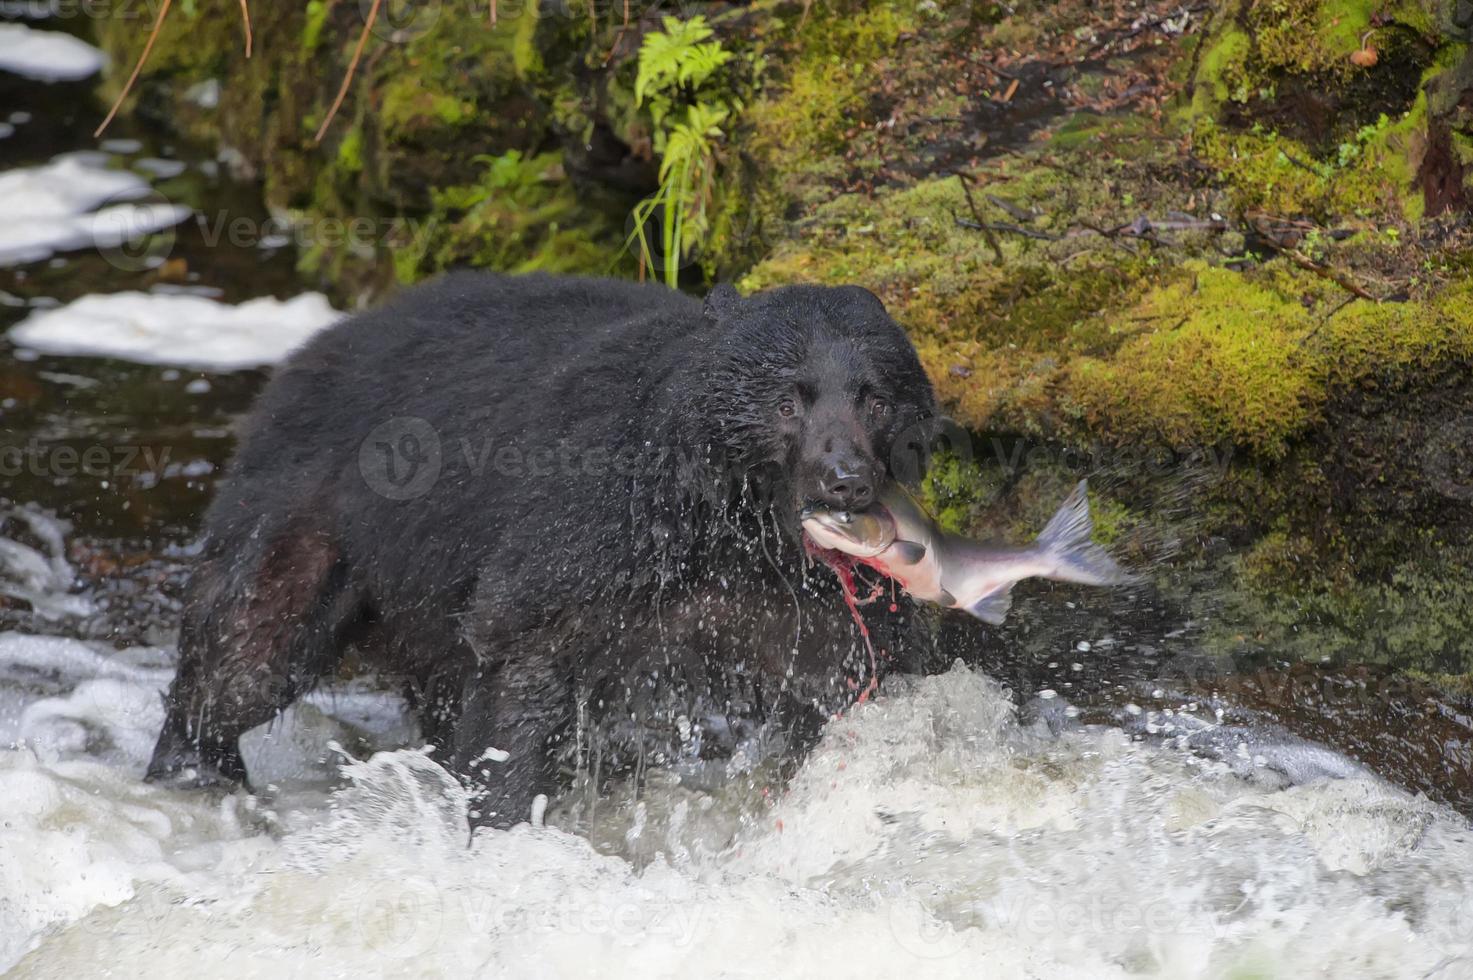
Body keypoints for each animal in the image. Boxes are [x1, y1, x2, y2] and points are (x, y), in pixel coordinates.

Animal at [143, 269, 936, 825]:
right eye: (789, 398)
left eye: (874, 396)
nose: (845, 478)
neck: (733, 530)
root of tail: (310, 349)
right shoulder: (589, 533)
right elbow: (521, 662)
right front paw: (502, 823)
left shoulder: (795, 604)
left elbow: (840, 686)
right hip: (314, 508)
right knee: (249, 646)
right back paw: (192, 769)